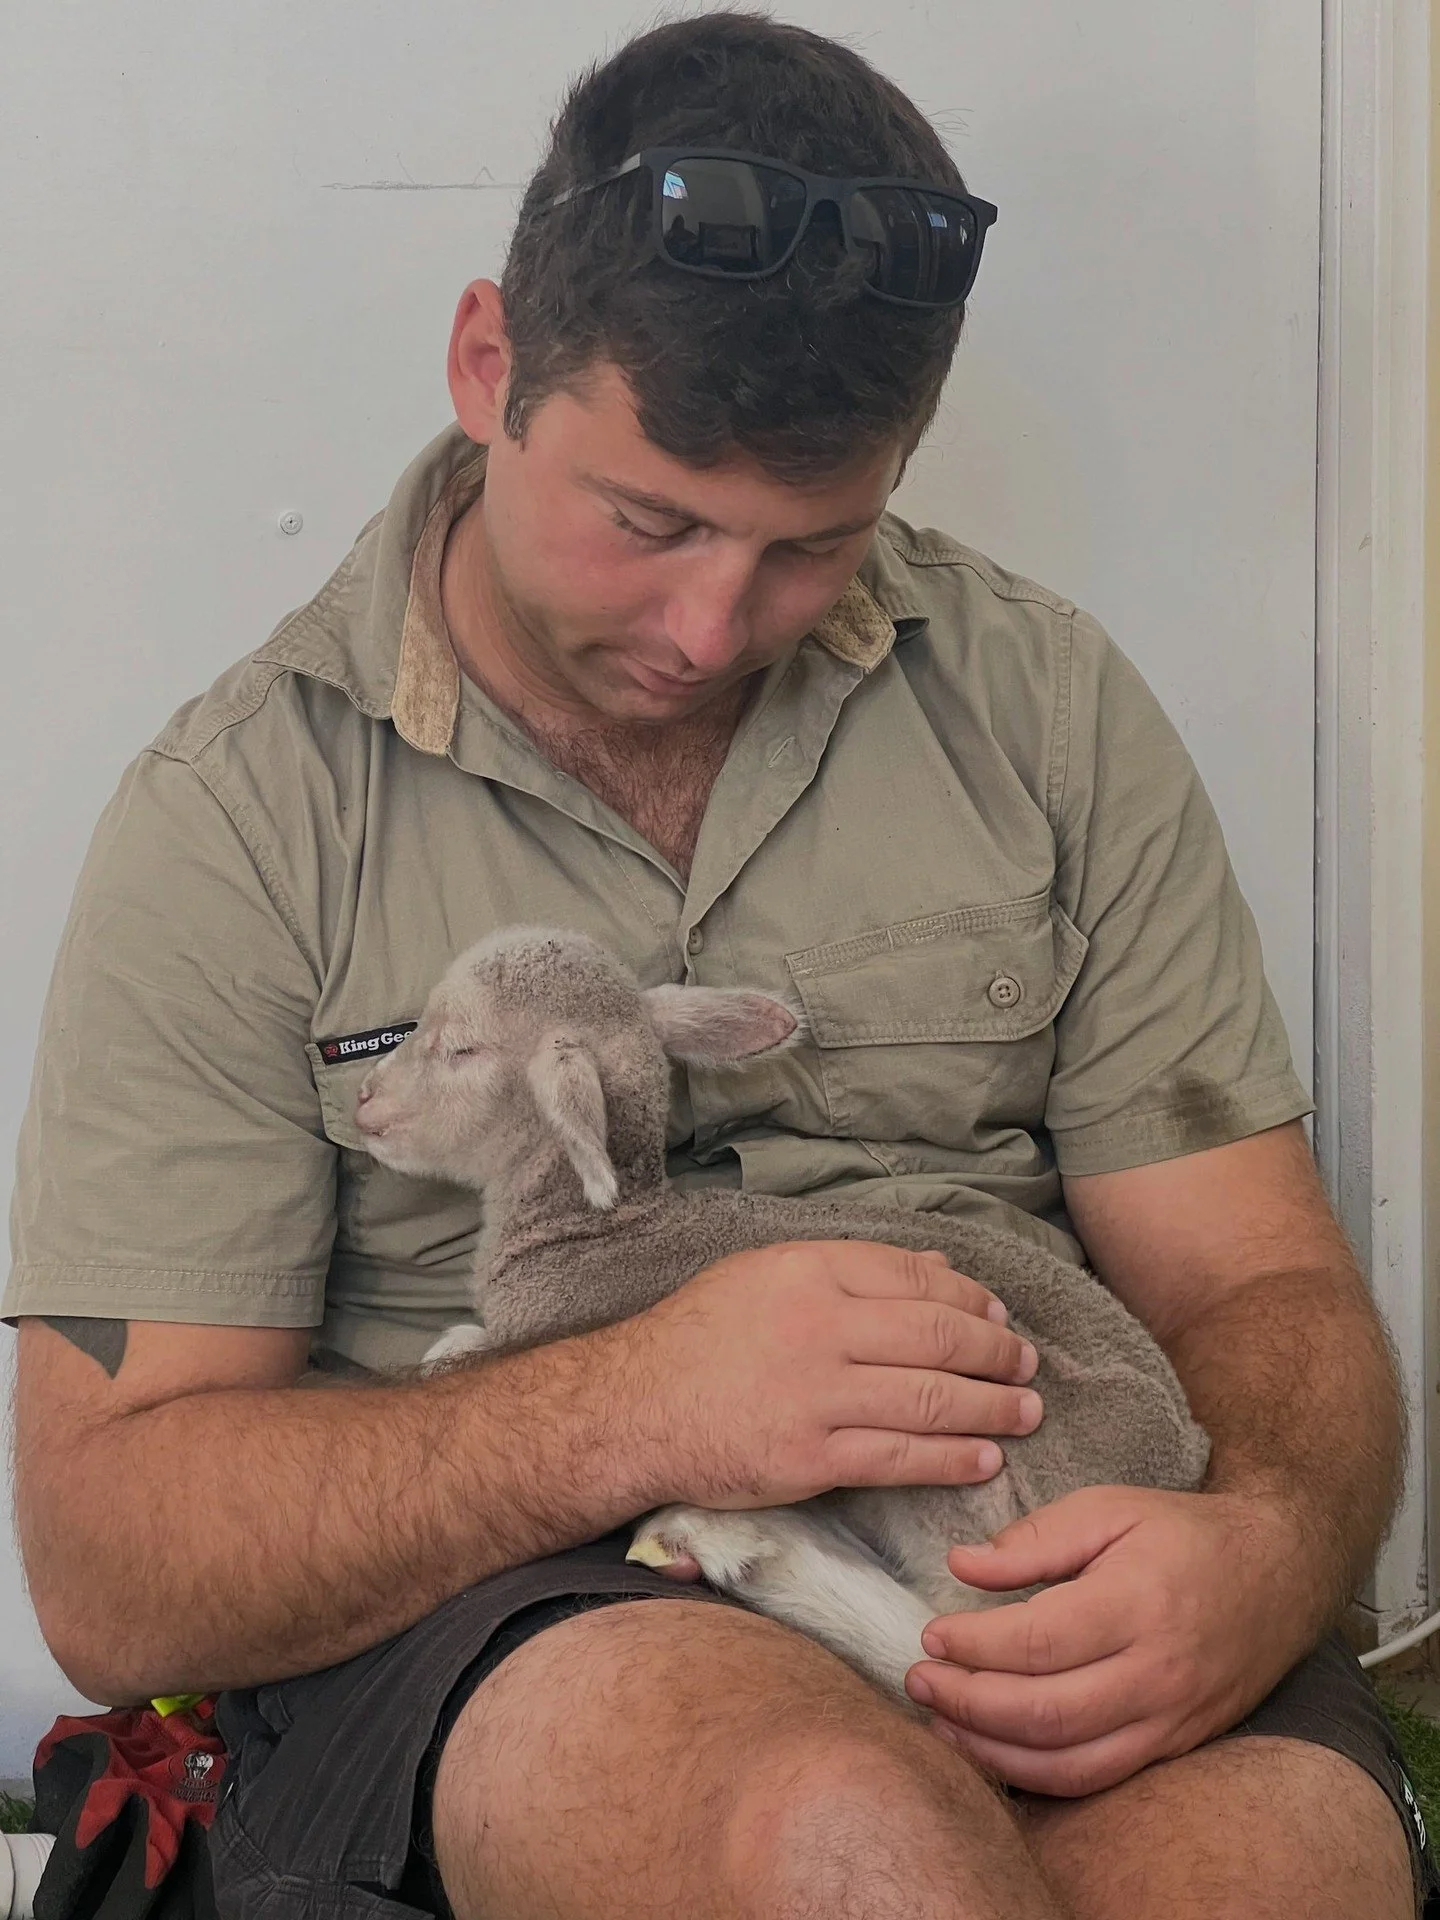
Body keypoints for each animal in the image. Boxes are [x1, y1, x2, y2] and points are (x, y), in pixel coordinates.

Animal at [353, 926, 1211, 1705]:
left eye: (462, 1049)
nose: (363, 1102)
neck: (589, 1231)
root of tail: (1178, 1473)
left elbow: (455, 1345)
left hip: (966, 1473)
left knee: (947, 1642)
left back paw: (726, 1540)